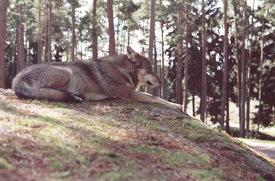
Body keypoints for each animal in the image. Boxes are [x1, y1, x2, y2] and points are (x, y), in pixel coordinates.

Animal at [12, 46, 182, 109]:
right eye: (150, 69)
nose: (161, 81)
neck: (122, 70)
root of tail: (16, 79)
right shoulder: (128, 94)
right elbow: (155, 98)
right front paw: (175, 105)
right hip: (69, 72)